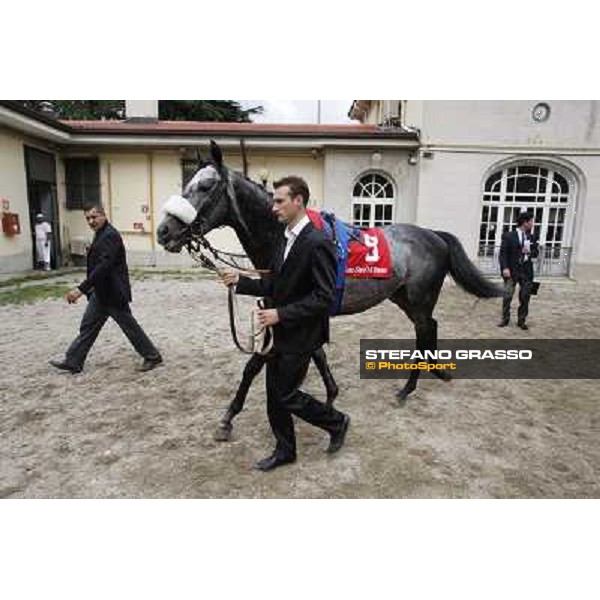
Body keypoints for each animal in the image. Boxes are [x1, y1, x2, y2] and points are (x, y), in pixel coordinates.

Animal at [156, 142, 502, 440]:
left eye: (205, 186)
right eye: (186, 184)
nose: (164, 231)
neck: (285, 238)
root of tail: (434, 235)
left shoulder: (287, 314)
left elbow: (254, 364)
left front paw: (228, 417)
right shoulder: (299, 312)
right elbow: (316, 352)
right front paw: (331, 396)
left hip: (419, 298)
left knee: (424, 330)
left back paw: (407, 389)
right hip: (402, 296)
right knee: (431, 327)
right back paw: (437, 372)